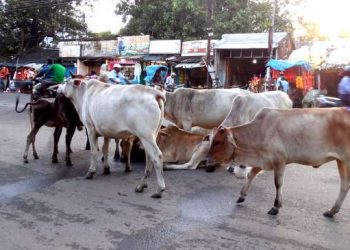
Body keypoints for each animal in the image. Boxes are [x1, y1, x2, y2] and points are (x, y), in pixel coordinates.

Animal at [206, 108, 350, 218]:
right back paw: (332, 211)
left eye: (217, 141)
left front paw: (276, 207)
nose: (207, 160)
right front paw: (242, 196)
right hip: (341, 161)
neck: (259, 131)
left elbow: (278, 183)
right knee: (345, 185)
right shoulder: (263, 160)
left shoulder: (279, 161)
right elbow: (250, 175)